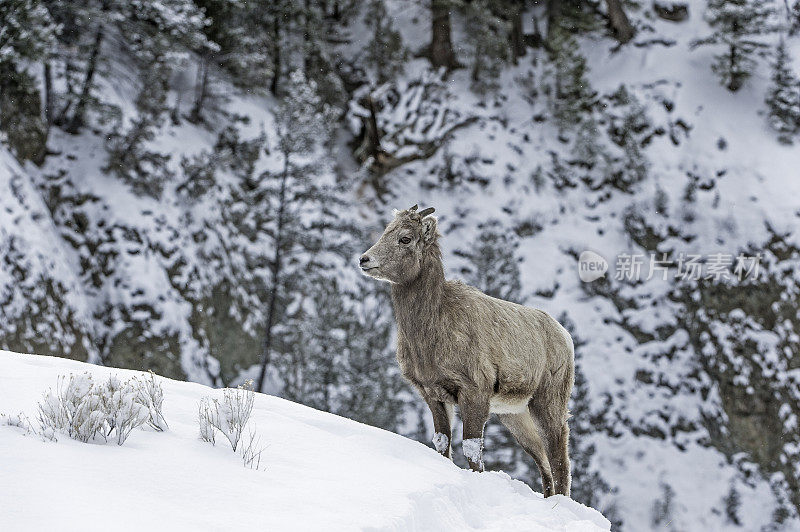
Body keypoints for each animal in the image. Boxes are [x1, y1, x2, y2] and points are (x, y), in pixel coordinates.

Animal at [360, 206, 572, 496]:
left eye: (405, 238)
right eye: (385, 232)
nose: (364, 259)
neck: (432, 332)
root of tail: (565, 337)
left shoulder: (474, 391)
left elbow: (471, 448)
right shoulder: (433, 394)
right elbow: (442, 443)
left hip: (548, 402)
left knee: (559, 457)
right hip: (514, 414)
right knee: (542, 458)